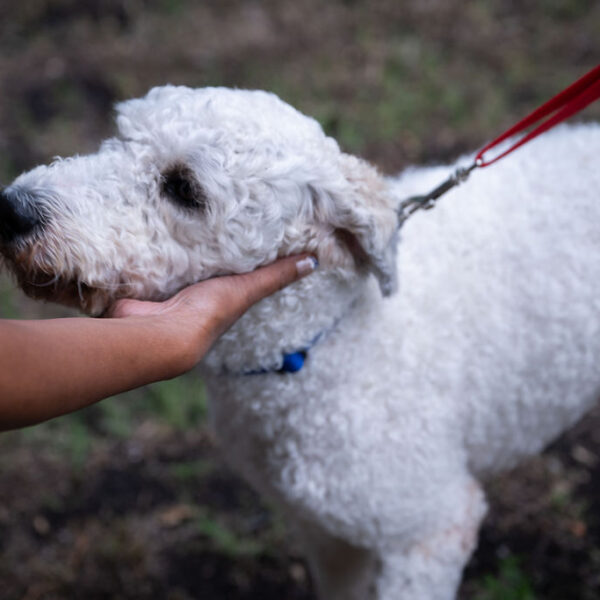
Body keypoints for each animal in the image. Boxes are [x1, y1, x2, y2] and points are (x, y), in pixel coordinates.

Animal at [1, 85, 599, 599]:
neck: (321, 344)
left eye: (183, 188)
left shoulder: (430, 531)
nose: (12, 208)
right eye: (119, 137)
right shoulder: (326, 533)